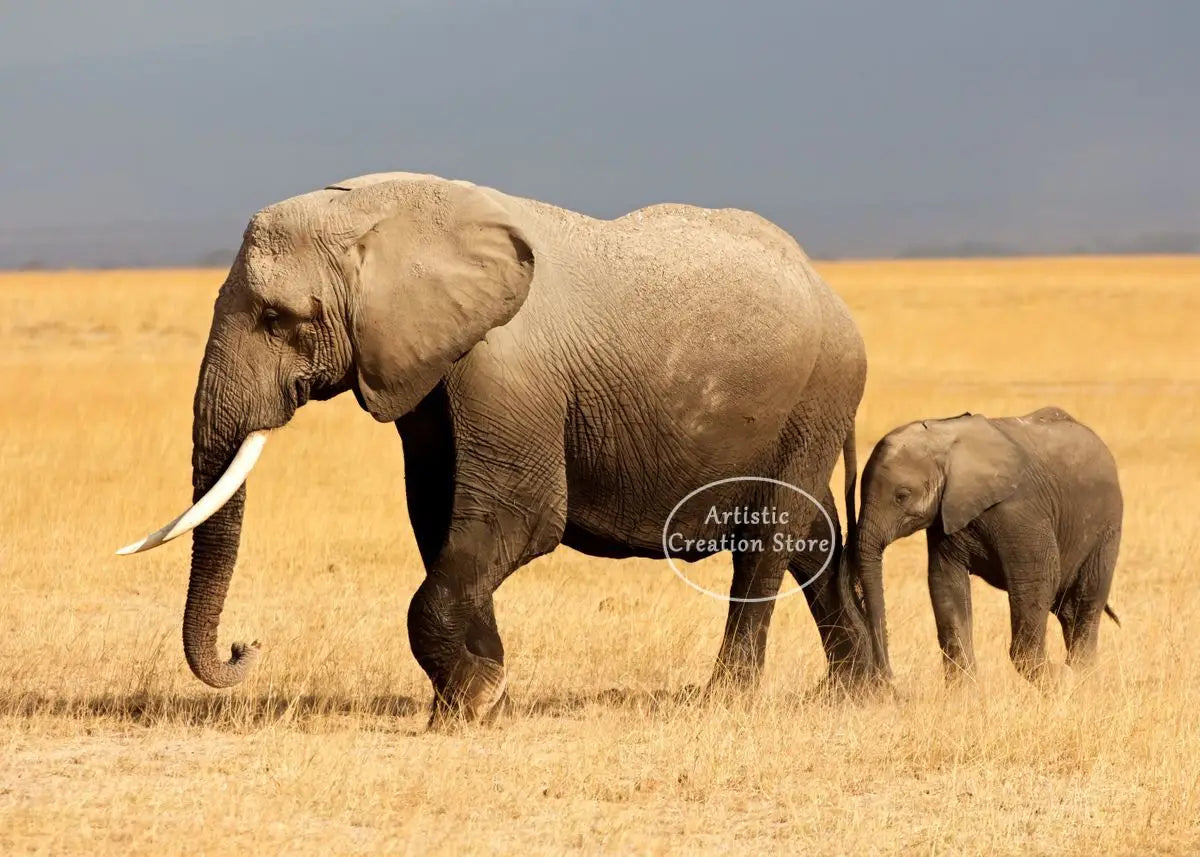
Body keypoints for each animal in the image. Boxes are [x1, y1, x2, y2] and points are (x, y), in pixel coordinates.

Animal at [118, 171, 882, 724]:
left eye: (280, 319)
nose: (245, 646)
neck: (384, 213)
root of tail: (830, 289)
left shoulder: (506, 368)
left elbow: (517, 518)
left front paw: (471, 703)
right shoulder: (425, 371)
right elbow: (440, 520)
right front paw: (478, 693)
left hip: (820, 390)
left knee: (768, 539)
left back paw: (726, 698)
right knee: (812, 536)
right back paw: (857, 691)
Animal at [851, 407, 1122, 684]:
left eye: (901, 496)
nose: (888, 677)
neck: (945, 437)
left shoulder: (1021, 510)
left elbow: (1037, 579)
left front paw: (1060, 680)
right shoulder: (945, 517)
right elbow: (945, 583)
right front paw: (964, 691)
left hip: (1108, 527)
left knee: (1086, 601)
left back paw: (1081, 676)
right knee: (1068, 609)